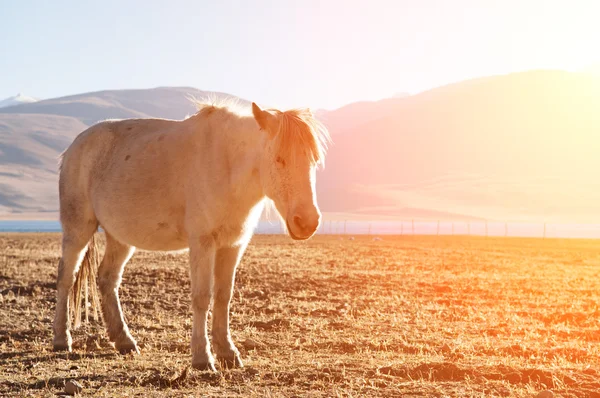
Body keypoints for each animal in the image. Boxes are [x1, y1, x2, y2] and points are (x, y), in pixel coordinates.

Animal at [52, 101, 330, 372]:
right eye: (279, 159)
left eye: (314, 161)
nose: (307, 222)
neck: (227, 165)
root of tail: (73, 148)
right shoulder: (202, 243)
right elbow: (202, 296)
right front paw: (202, 357)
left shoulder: (232, 245)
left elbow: (223, 295)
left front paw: (228, 353)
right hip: (78, 228)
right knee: (66, 278)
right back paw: (61, 339)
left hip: (120, 237)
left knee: (108, 279)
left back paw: (124, 341)